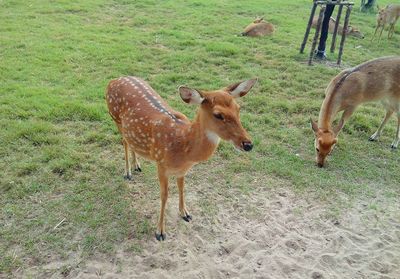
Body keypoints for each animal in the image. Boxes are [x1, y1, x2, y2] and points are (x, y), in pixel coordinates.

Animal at [106, 76, 256, 241]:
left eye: (238, 109)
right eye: (218, 114)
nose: (248, 144)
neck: (184, 146)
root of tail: (113, 80)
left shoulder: (183, 169)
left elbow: (182, 188)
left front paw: (185, 213)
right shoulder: (161, 163)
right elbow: (164, 196)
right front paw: (160, 232)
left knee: (129, 141)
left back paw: (137, 166)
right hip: (115, 118)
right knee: (124, 142)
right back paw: (127, 173)